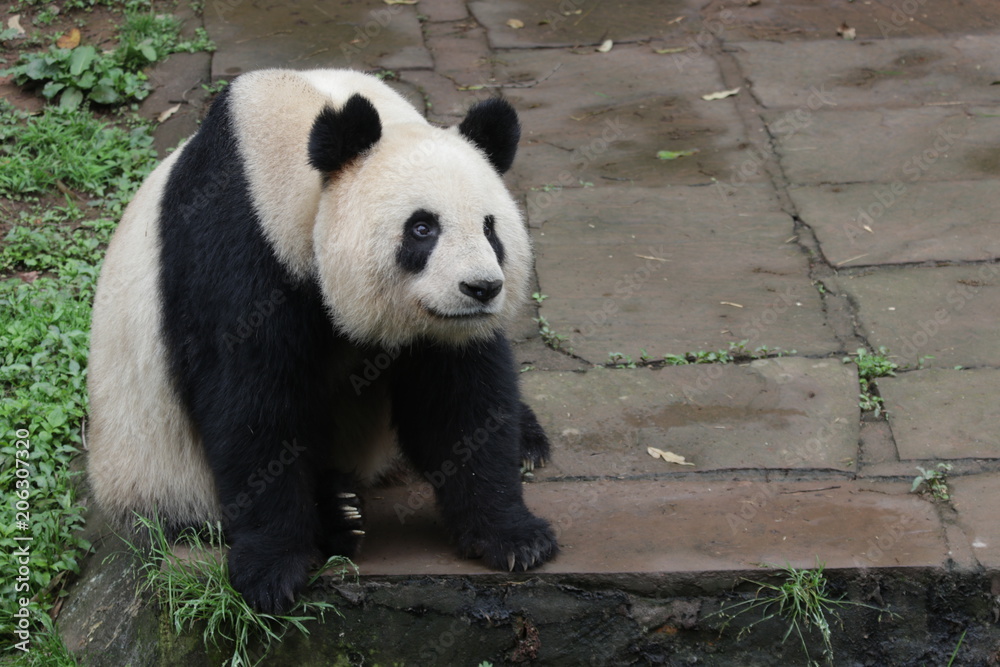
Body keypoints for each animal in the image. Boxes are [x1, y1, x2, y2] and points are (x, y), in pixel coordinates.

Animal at [87, 68, 558, 614]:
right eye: (422, 228)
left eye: (490, 228)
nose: (481, 289)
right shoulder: (237, 246)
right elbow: (251, 405)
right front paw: (272, 568)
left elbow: (460, 401)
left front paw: (515, 537)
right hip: (155, 471)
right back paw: (339, 513)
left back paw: (524, 440)